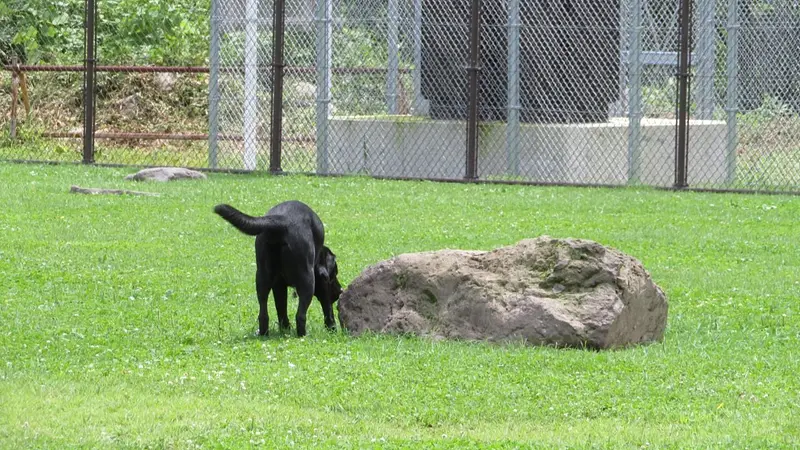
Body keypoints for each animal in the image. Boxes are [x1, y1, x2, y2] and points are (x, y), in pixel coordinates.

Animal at [212, 201, 340, 338]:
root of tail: (281, 220)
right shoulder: (322, 284)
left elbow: (281, 309)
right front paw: (332, 328)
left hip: (262, 277)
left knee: (263, 314)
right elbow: (327, 308)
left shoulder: (278, 285)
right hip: (308, 280)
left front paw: (285, 329)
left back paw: (265, 334)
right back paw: (303, 335)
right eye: (335, 273)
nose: (341, 290)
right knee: (300, 315)